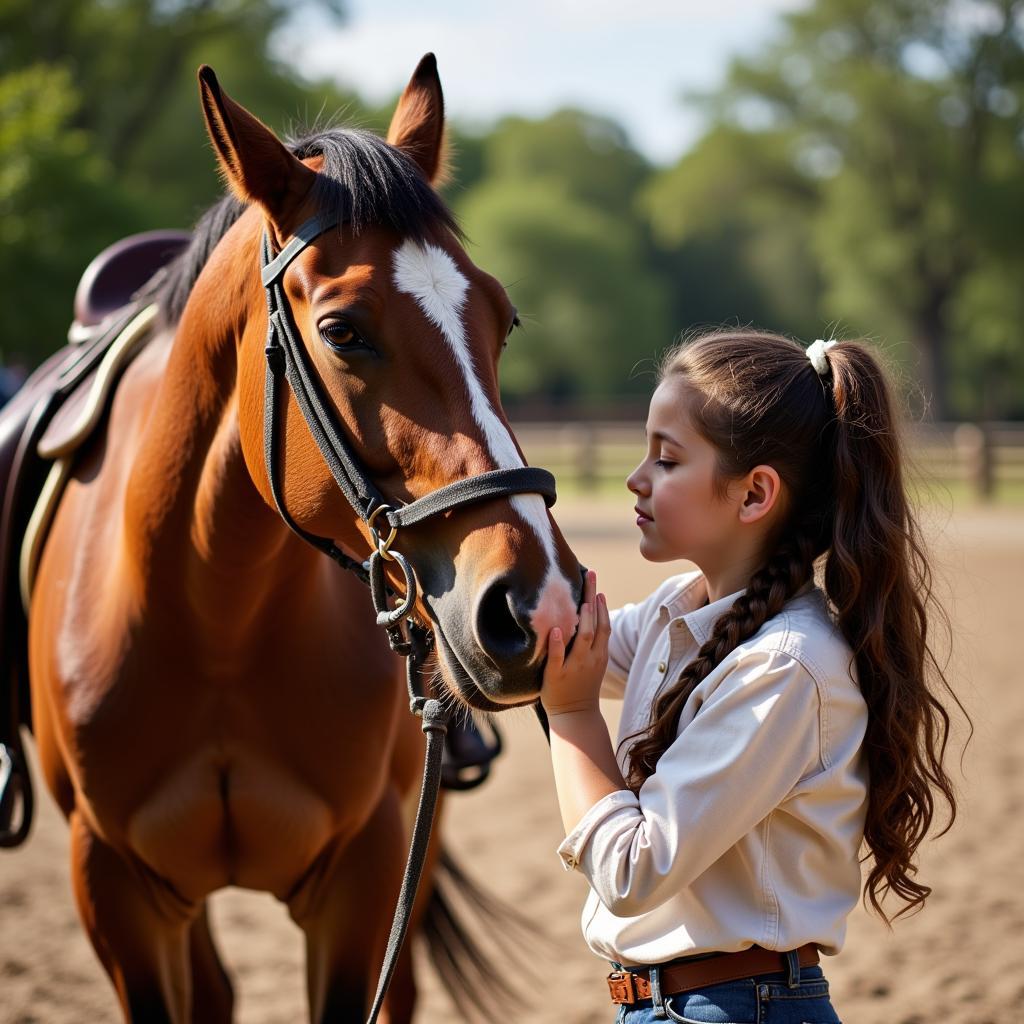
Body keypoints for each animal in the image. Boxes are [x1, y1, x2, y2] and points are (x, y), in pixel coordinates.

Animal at [25, 58, 585, 1024]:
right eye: (341, 330)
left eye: (503, 319)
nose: (537, 603)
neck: (218, 620)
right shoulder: (113, 887)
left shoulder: (364, 877)